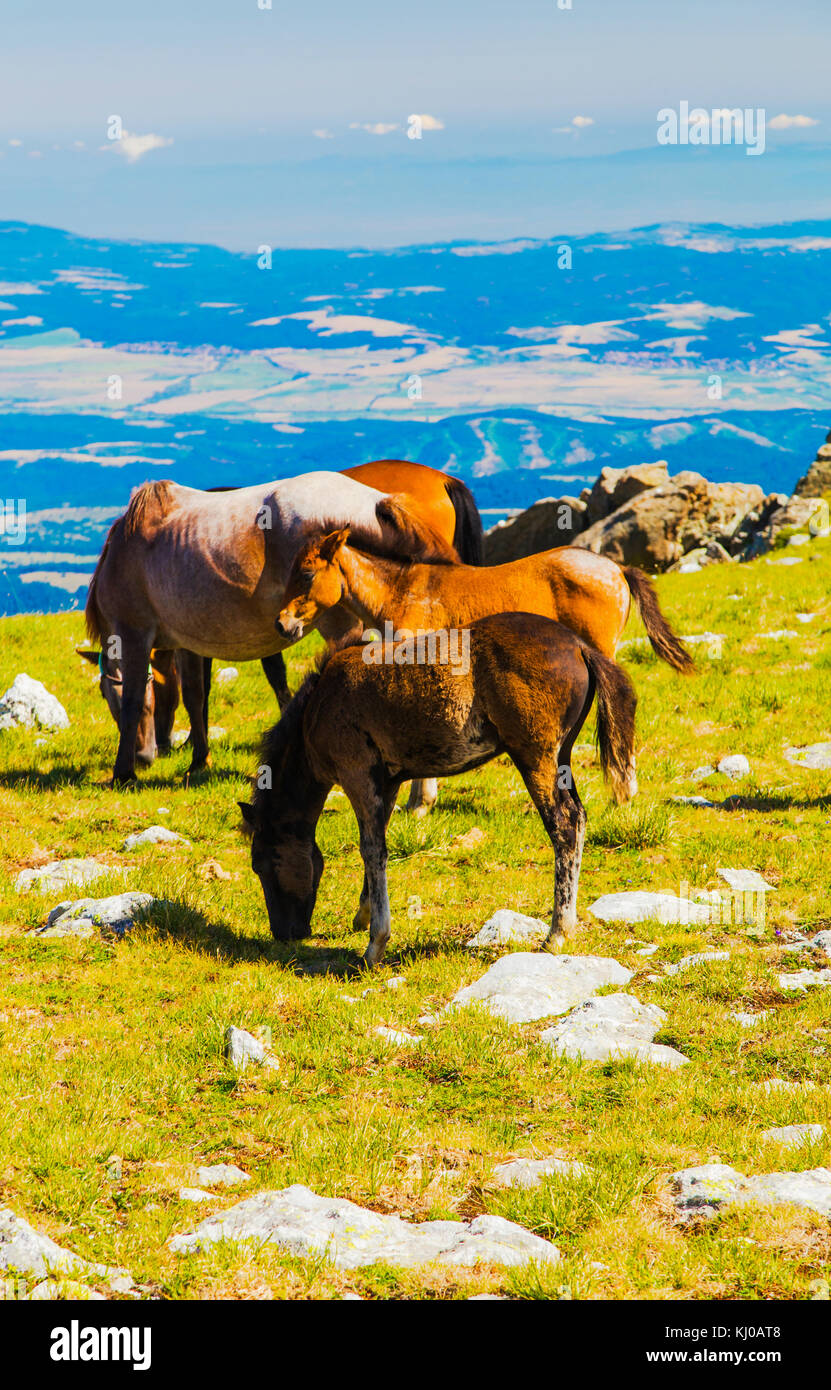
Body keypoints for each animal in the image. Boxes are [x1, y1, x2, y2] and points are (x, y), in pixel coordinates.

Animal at [85, 465, 482, 786]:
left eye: (108, 699)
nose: (146, 756)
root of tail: (375, 502)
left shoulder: (134, 633)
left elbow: (135, 697)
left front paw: (123, 773)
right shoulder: (187, 643)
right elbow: (196, 696)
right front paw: (199, 761)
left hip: (338, 624)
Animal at [239, 613, 637, 966]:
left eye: (261, 863)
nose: (285, 933)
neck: (321, 705)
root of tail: (578, 646)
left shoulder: (357, 777)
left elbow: (372, 850)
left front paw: (375, 945)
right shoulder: (387, 783)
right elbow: (377, 843)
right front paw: (363, 915)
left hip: (535, 757)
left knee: (564, 826)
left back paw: (557, 933)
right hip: (561, 758)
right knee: (579, 818)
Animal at [274, 516, 693, 801]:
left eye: (307, 572)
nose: (282, 623)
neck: (404, 592)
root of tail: (617, 568)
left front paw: (420, 803)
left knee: (622, 703)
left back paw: (625, 788)